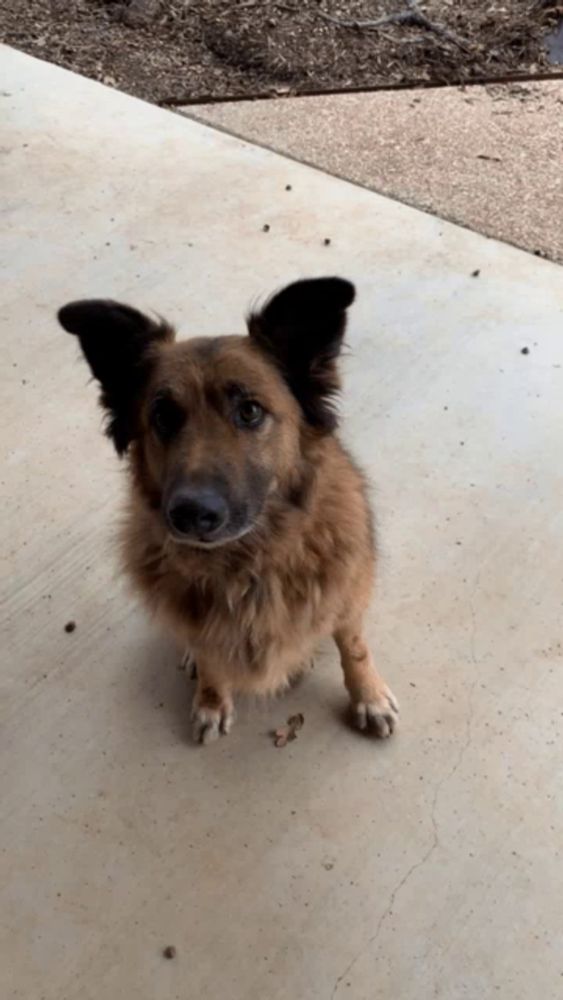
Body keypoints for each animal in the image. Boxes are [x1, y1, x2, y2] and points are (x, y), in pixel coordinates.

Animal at [59, 274, 398, 744]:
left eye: (250, 410)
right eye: (163, 416)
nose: (190, 514)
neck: (247, 562)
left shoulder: (346, 597)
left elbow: (354, 647)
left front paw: (368, 696)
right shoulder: (201, 625)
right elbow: (211, 658)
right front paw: (210, 698)